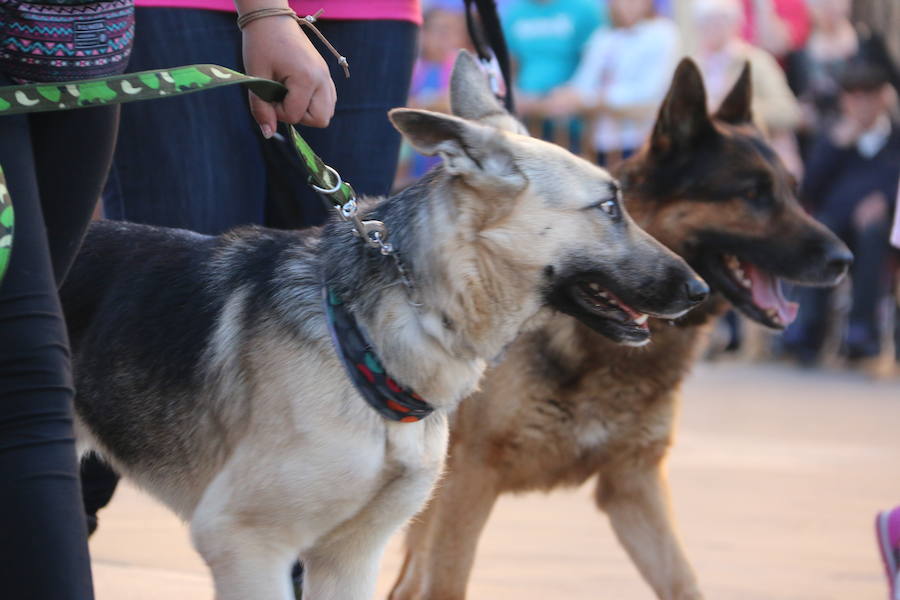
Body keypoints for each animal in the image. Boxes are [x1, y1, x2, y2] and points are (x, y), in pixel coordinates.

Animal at [388, 59, 852, 600]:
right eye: (752, 195)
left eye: (792, 192)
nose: (844, 260)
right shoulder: (471, 481)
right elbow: (445, 582)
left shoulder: (634, 485)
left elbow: (682, 580)